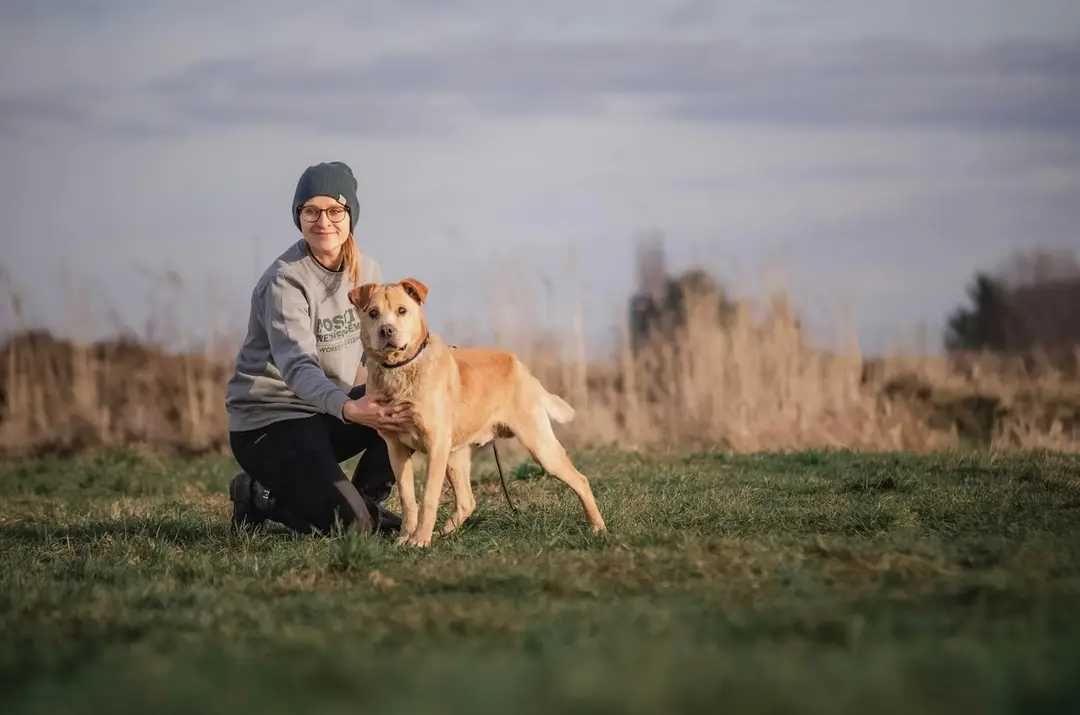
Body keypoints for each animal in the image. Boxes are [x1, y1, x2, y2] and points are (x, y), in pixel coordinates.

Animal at [349, 280, 609, 548]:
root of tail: (519, 366)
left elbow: (429, 498)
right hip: (455, 456)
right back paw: (444, 532)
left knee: (580, 480)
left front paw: (420, 540)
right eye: (373, 313)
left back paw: (598, 528)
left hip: (540, 447)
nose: (386, 331)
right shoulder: (396, 448)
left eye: (402, 310)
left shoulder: (435, 446)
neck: (399, 369)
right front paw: (405, 538)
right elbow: (408, 499)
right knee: (467, 501)